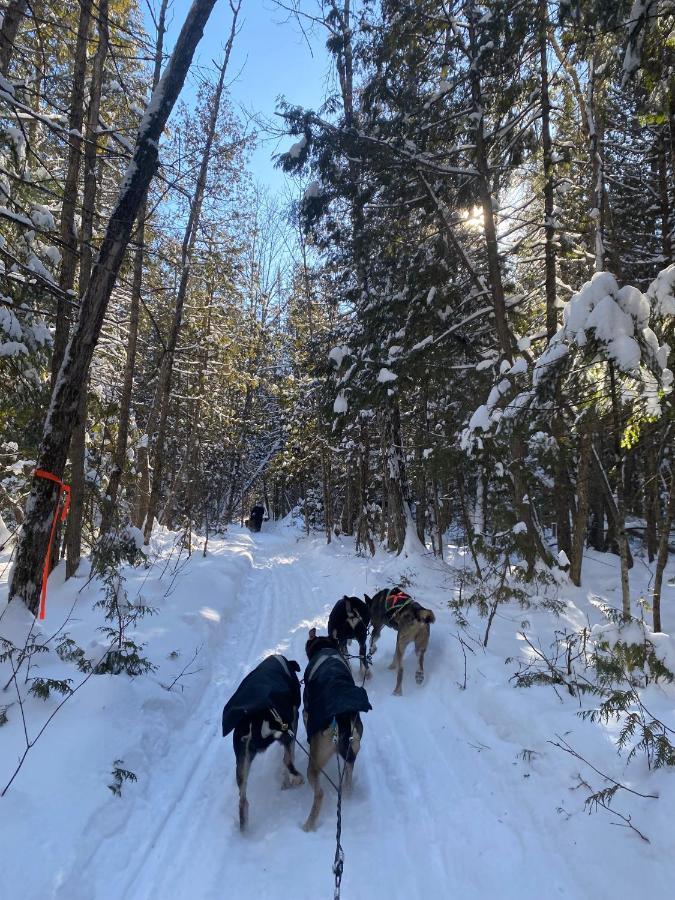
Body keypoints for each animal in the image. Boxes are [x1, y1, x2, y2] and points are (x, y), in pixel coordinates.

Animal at [222, 652, 304, 828]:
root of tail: (254, 719)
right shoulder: (293, 721)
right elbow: (289, 756)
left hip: (242, 761)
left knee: (243, 800)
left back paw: (244, 825)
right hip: (286, 733)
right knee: (287, 761)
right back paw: (297, 779)